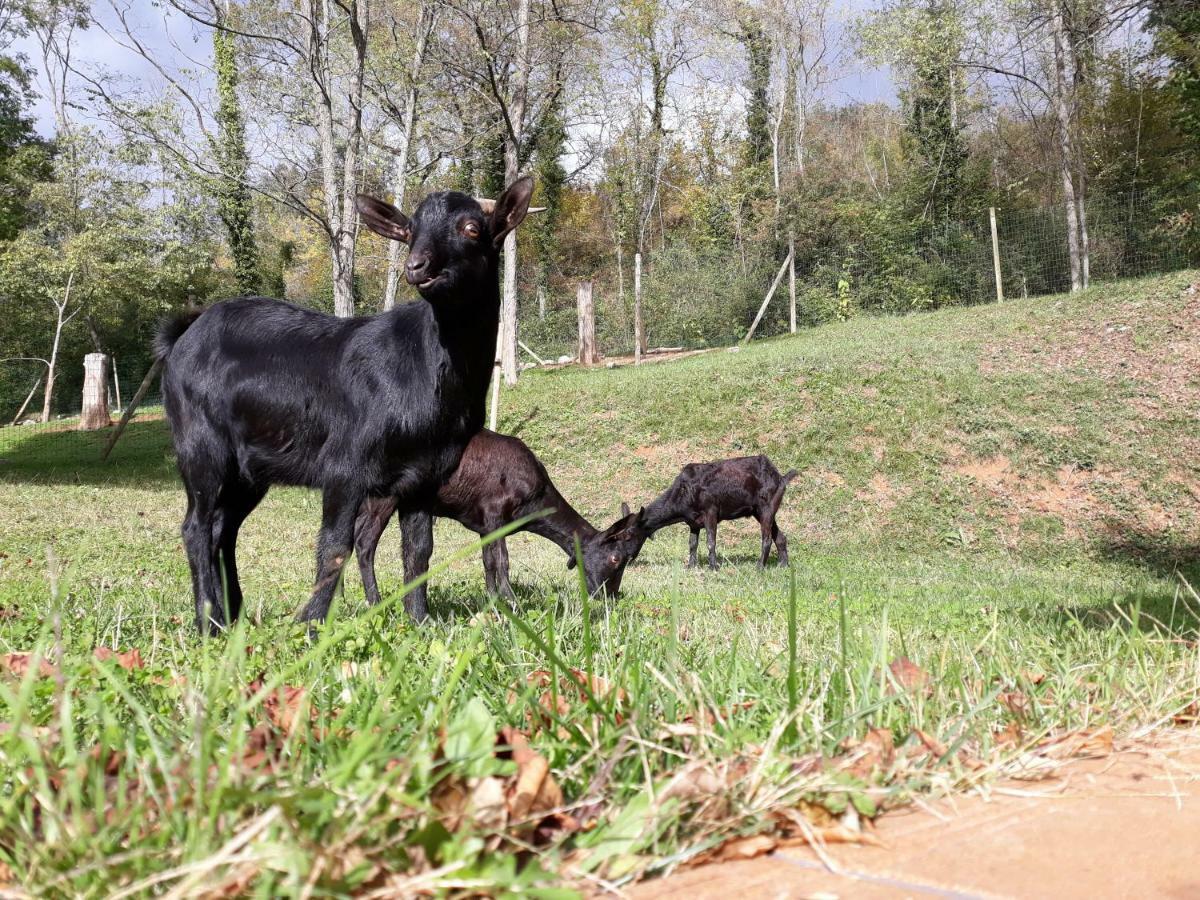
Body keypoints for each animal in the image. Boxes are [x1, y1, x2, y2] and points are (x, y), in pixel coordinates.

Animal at [157, 176, 532, 633]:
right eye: (410, 230)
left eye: (472, 228)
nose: (417, 267)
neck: (423, 370)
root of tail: (182, 338)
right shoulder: (344, 466)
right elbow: (335, 547)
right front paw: (312, 625)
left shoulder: (425, 474)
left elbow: (419, 551)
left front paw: (420, 622)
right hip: (201, 446)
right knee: (196, 527)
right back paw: (208, 623)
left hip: (249, 471)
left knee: (222, 531)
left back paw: (234, 618)